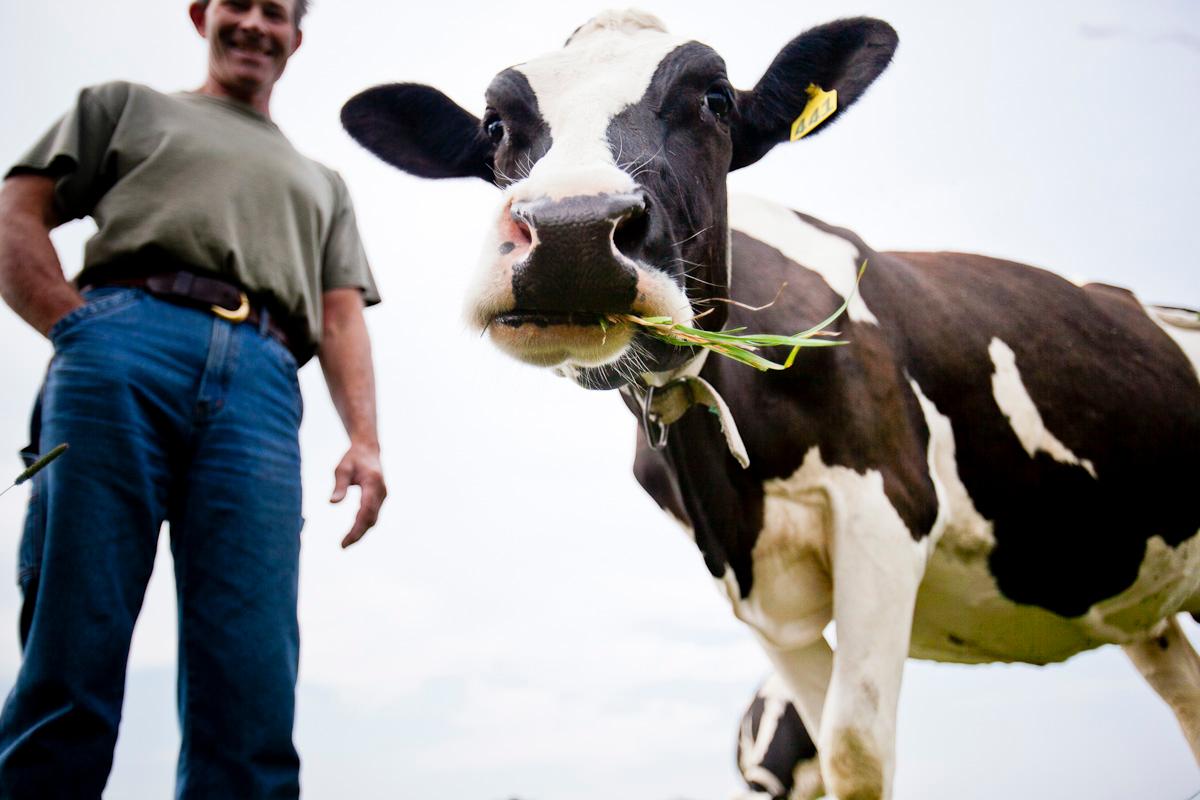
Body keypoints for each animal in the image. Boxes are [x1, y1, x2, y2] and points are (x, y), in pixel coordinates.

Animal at [340, 12, 1200, 800]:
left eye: (716, 100)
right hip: (1143, 614)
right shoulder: (756, 592)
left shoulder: (885, 513)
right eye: (495, 127)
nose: (572, 232)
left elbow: (853, 751)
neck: (726, 478)